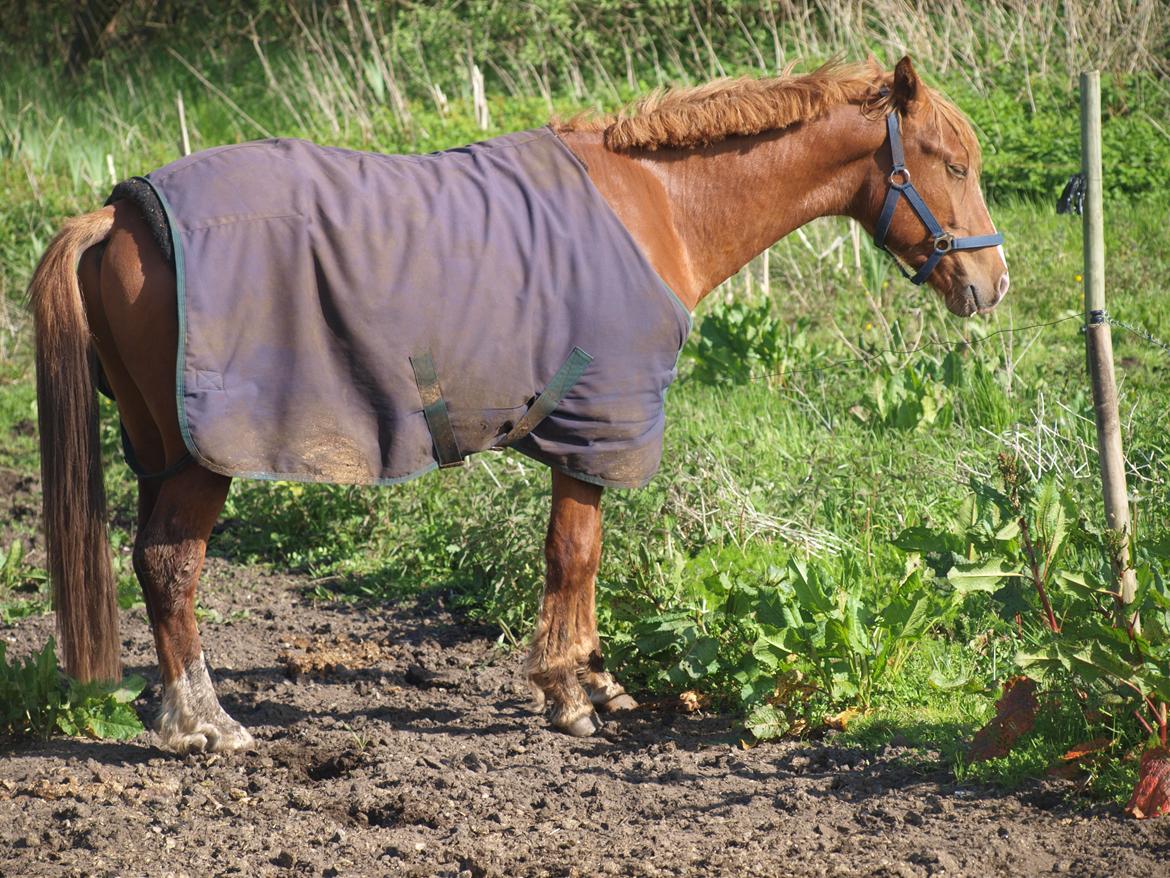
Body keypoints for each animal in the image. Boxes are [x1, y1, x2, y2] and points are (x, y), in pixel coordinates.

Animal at [25, 56, 1006, 758]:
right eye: (954, 164)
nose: (992, 283)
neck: (658, 207)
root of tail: (118, 217)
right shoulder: (595, 428)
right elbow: (575, 556)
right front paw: (570, 694)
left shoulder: (587, 432)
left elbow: (578, 561)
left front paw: (594, 680)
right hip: (206, 454)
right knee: (170, 566)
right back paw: (204, 722)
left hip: (162, 446)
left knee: (151, 559)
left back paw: (169, 708)